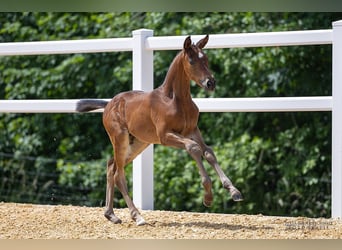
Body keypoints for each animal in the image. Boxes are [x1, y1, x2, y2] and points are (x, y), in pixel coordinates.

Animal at [77, 34, 243, 225]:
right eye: (192, 61)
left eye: (206, 59)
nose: (211, 83)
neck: (176, 100)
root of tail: (108, 104)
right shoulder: (165, 136)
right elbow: (193, 148)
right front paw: (208, 196)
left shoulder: (192, 130)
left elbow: (208, 152)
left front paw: (234, 191)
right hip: (120, 138)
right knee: (119, 174)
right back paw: (137, 216)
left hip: (138, 143)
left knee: (112, 166)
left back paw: (111, 214)